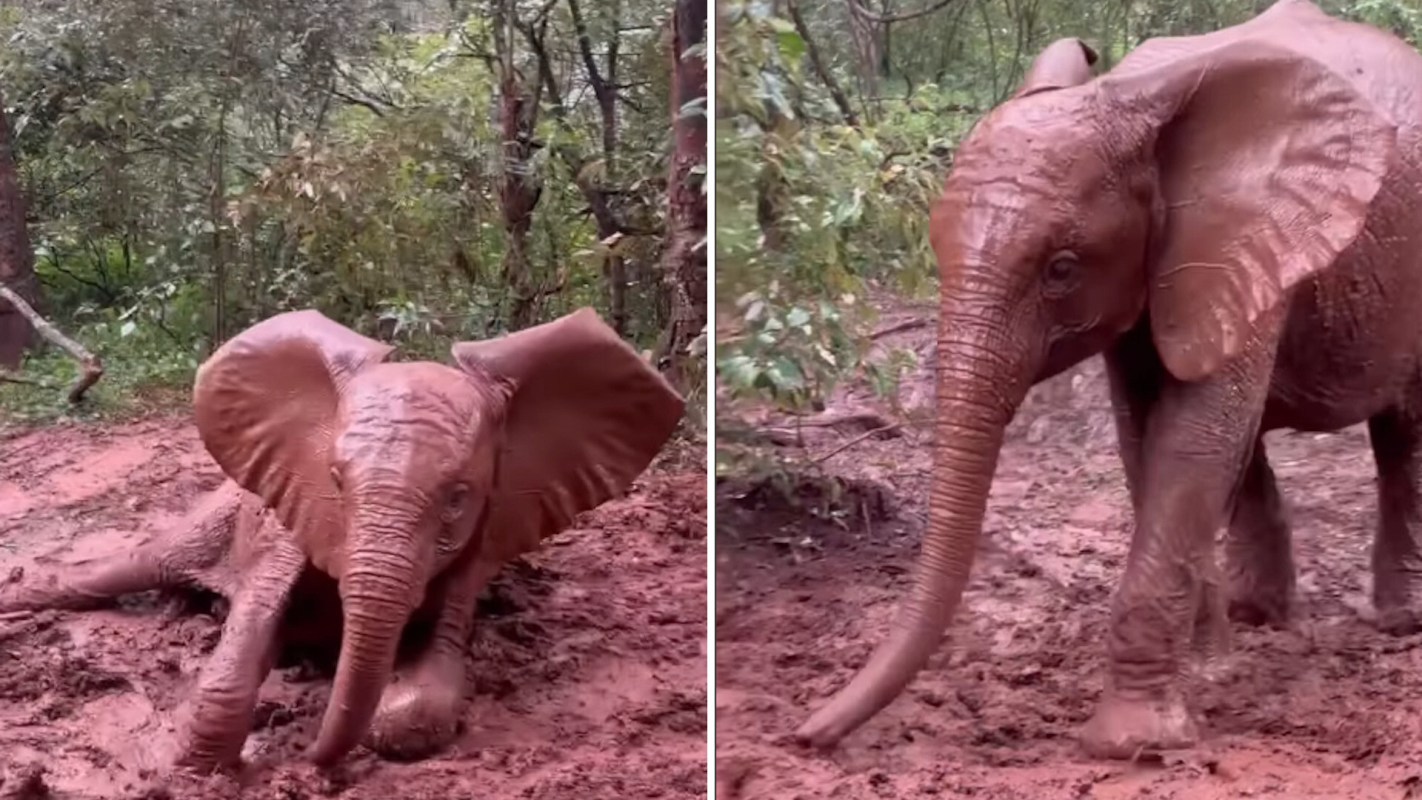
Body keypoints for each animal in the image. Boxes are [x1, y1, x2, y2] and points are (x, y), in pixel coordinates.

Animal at [0, 307, 684, 771]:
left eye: (459, 497)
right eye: (334, 478)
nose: (312, 761)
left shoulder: (484, 538)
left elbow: (426, 700)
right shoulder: (291, 519)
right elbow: (241, 649)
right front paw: (205, 767)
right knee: (133, 565)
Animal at [793, 0, 1422, 759]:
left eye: (1061, 269)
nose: (805, 736)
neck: (1128, 100)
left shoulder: (1246, 240)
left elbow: (1193, 438)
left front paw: (1133, 744)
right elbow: (1147, 435)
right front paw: (1208, 675)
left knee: (1404, 434)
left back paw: (1400, 626)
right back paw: (1259, 618)